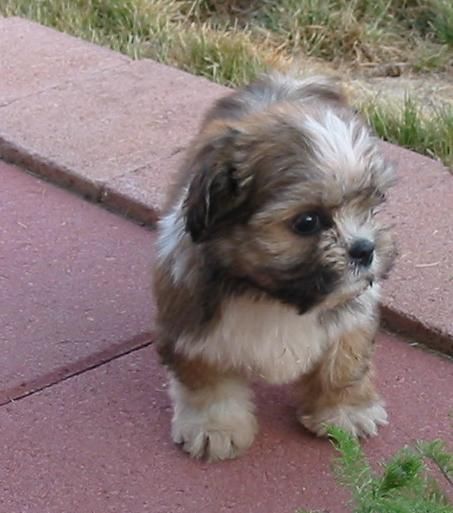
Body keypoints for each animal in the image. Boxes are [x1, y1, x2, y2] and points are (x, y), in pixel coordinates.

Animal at [152, 72, 396, 460]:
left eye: (372, 205)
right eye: (307, 222)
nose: (365, 249)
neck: (269, 295)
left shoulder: (352, 314)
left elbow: (344, 363)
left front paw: (344, 411)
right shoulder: (191, 325)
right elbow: (207, 380)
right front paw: (214, 427)